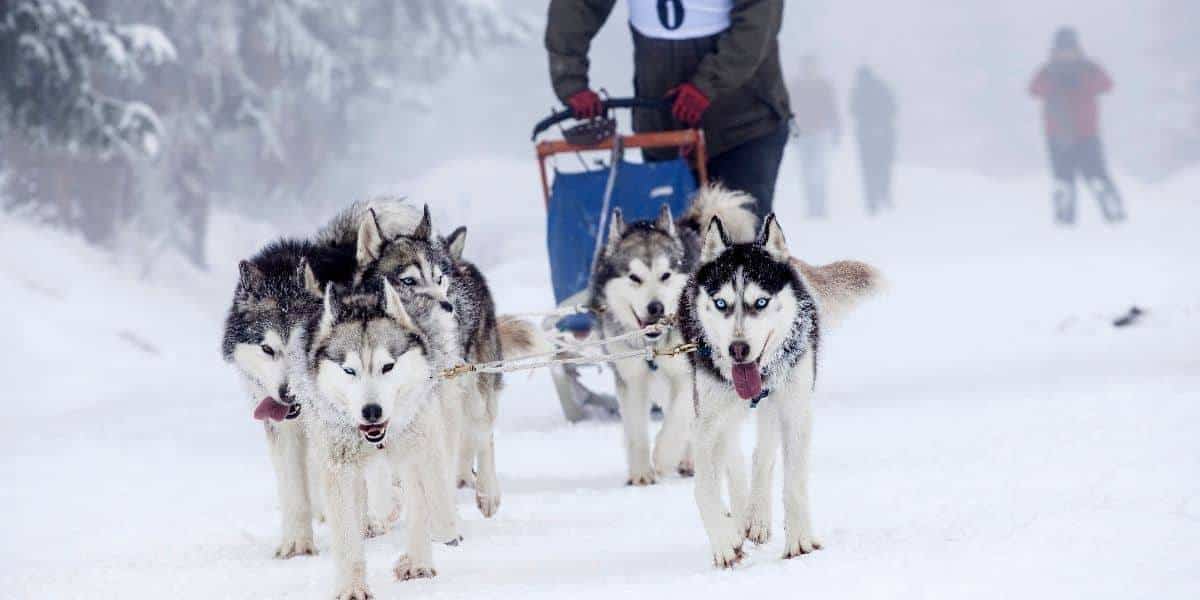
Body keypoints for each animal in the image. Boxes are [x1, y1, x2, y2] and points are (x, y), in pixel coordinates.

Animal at [590, 184, 758, 484]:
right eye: (634, 278)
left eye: (666, 275)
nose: (655, 307)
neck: (654, 346)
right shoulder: (632, 379)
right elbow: (636, 430)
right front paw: (641, 473)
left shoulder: (688, 374)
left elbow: (678, 420)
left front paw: (664, 455)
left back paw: (690, 459)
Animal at [681, 212, 878, 566]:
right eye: (721, 303)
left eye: (760, 302)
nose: (738, 349)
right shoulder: (706, 422)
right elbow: (704, 487)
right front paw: (723, 542)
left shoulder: (795, 409)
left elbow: (793, 481)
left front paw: (799, 540)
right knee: (733, 454)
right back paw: (740, 515)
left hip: (777, 403)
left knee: (762, 453)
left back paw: (757, 515)